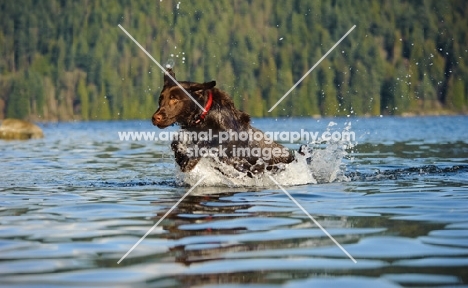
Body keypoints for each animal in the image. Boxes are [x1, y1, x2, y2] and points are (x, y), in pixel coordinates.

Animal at [152, 68, 294, 177]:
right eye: (160, 99)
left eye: (174, 99)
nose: (155, 118)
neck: (204, 116)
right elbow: (176, 142)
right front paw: (180, 155)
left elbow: (207, 142)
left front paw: (189, 161)